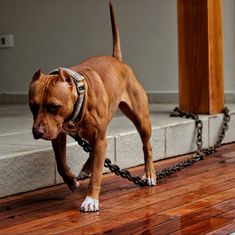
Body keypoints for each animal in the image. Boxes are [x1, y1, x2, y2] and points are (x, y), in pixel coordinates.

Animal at [28, 1, 156, 212]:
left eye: (54, 106)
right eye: (32, 106)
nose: (37, 131)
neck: (78, 97)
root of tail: (118, 61)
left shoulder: (94, 136)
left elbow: (97, 174)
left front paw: (91, 199)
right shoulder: (59, 135)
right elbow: (61, 164)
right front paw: (71, 181)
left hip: (141, 119)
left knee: (147, 146)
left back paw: (150, 174)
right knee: (96, 150)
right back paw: (87, 166)